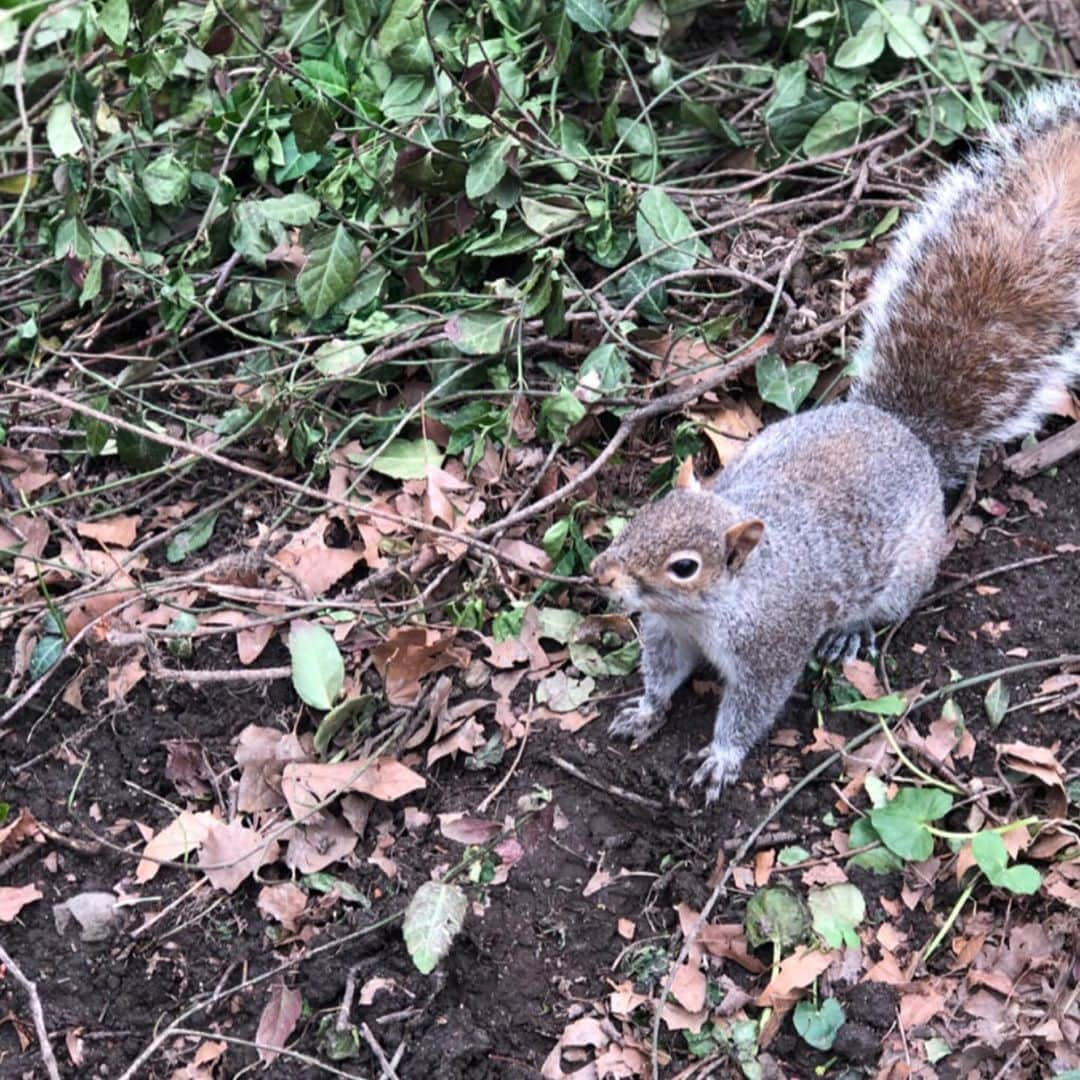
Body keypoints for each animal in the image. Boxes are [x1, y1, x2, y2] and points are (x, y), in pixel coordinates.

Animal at [591, 84, 1080, 803]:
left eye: (685, 565)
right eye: (641, 516)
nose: (602, 574)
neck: (709, 610)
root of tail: (898, 428)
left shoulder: (772, 645)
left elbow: (752, 706)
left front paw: (723, 757)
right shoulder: (667, 633)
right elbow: (661, 674)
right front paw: (647, 710)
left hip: (905, 575)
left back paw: (848, 638)